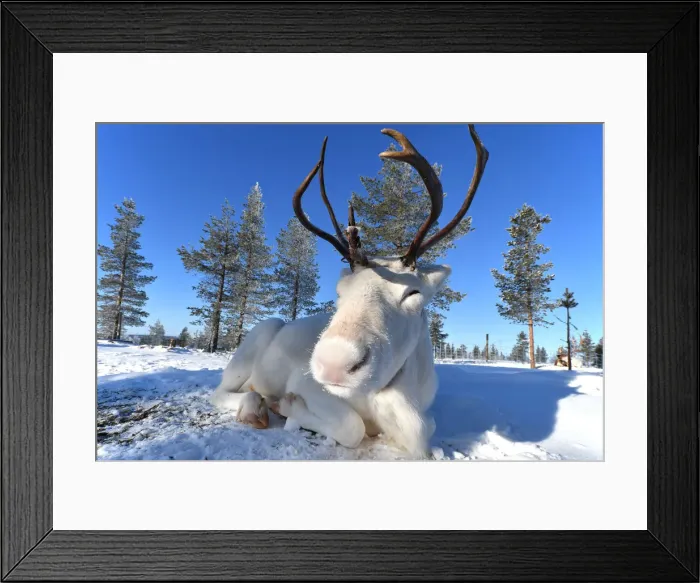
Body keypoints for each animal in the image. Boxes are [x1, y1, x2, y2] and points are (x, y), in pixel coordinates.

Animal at [211, 125, 489, 458]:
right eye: (340, 290)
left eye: (414, 293)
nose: (334, 364)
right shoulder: (308, 385)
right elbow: (352, 427)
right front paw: (287, 406)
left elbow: (426, 428)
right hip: (253, 344)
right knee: (220, 391)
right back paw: (256, 407)